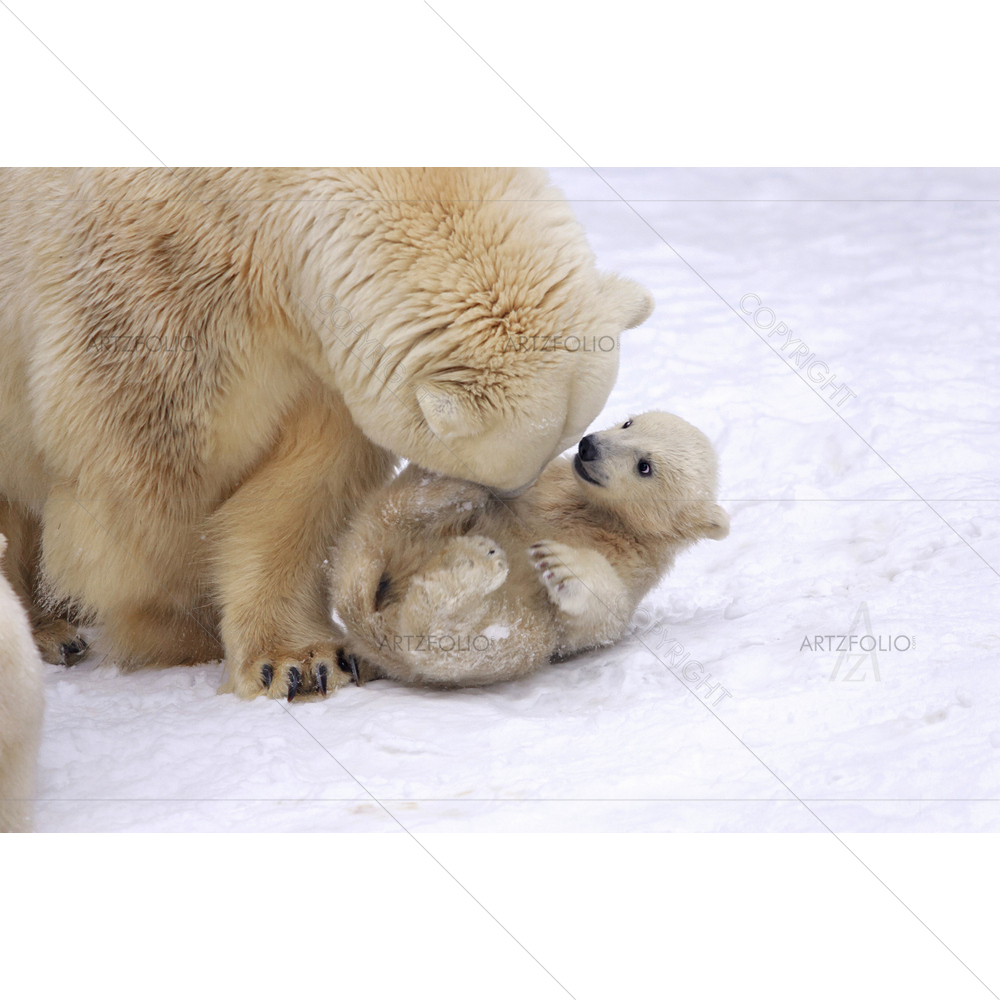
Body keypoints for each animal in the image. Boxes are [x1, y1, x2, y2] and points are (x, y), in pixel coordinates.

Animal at [0, 168, 654, 700]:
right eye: (501, 472)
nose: (508, 508)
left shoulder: (316, 359)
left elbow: (304, 487)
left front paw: (303, 661)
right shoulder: (152, 296)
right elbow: (149, 482)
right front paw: (186, 633)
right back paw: (51, 632)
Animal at [328, 411, 729, 687]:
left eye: (644, 466)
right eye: (629, 423)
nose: (588, 446)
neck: (600, 517)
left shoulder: (631, 567)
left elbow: (596, 619)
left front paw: (562, 562)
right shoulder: (543, 488)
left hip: (489, 636)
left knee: (470, 639)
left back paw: (474, 562)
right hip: (381, 536)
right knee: (399, 512)